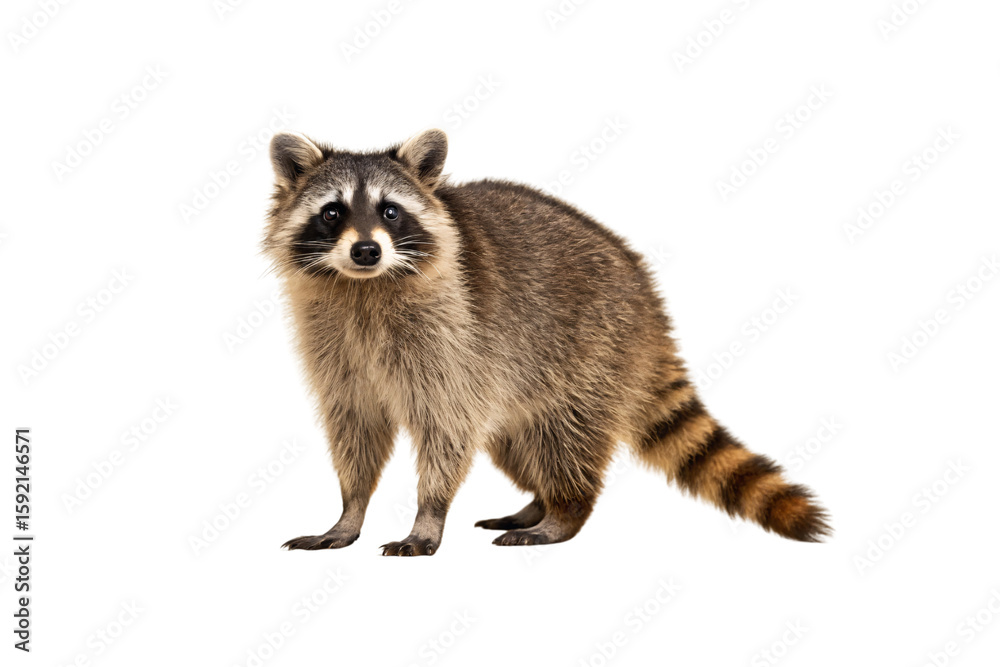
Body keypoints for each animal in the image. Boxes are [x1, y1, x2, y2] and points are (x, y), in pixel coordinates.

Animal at [265, 129, 831, 556]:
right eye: (333, 212)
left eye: (390, 212)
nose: (366, 251)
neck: (364, 286)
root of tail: (646, 295)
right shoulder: (336, 347)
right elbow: (355, 426)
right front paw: (350, 508)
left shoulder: (453, 338)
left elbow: (447, 430)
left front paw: (429, 514)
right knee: (520, 441)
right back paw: (539, 502)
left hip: (593, 352)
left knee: (567, 438)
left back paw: (565, 511)